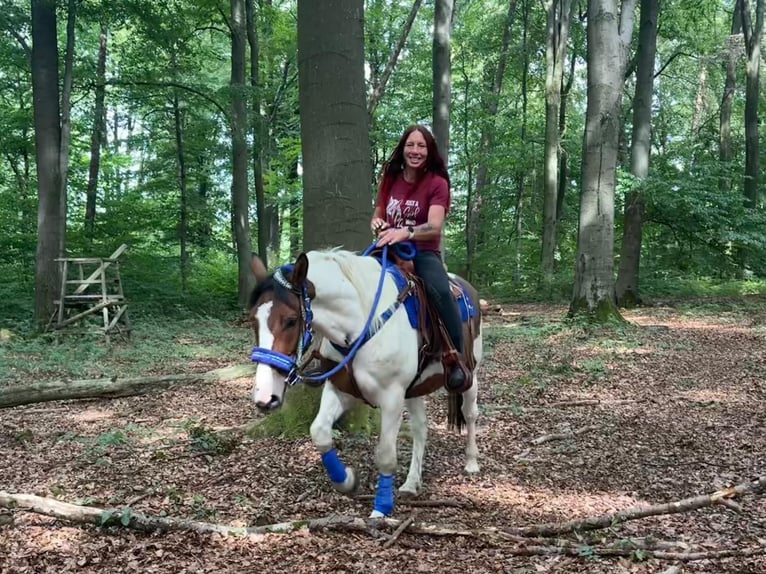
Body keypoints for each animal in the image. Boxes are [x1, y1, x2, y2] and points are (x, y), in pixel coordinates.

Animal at [248, 244, 482, 518]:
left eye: (291, 320)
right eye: (253, 319)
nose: (265, 397)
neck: (360, 326)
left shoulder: (392, 397)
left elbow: (386, 454)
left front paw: (381, 507)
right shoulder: (340, 389)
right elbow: (319, 432)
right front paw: (347, 481)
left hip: (470, 374)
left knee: (470, 412)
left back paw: (471, 461)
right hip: (414, 390)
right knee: (420, 428)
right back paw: (411, 482)